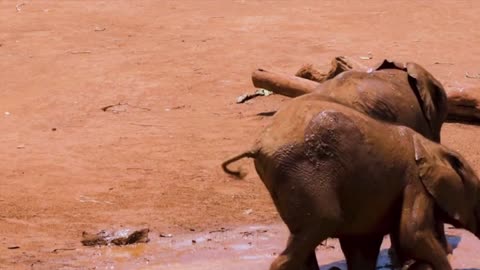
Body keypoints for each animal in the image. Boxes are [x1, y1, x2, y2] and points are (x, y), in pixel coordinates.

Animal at [222, 93, 480, 270]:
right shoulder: (414, 182)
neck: (433, 148)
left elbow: (362, 248)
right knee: (322, 223)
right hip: (303, 172)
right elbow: (413, 235)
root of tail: (258, 145)